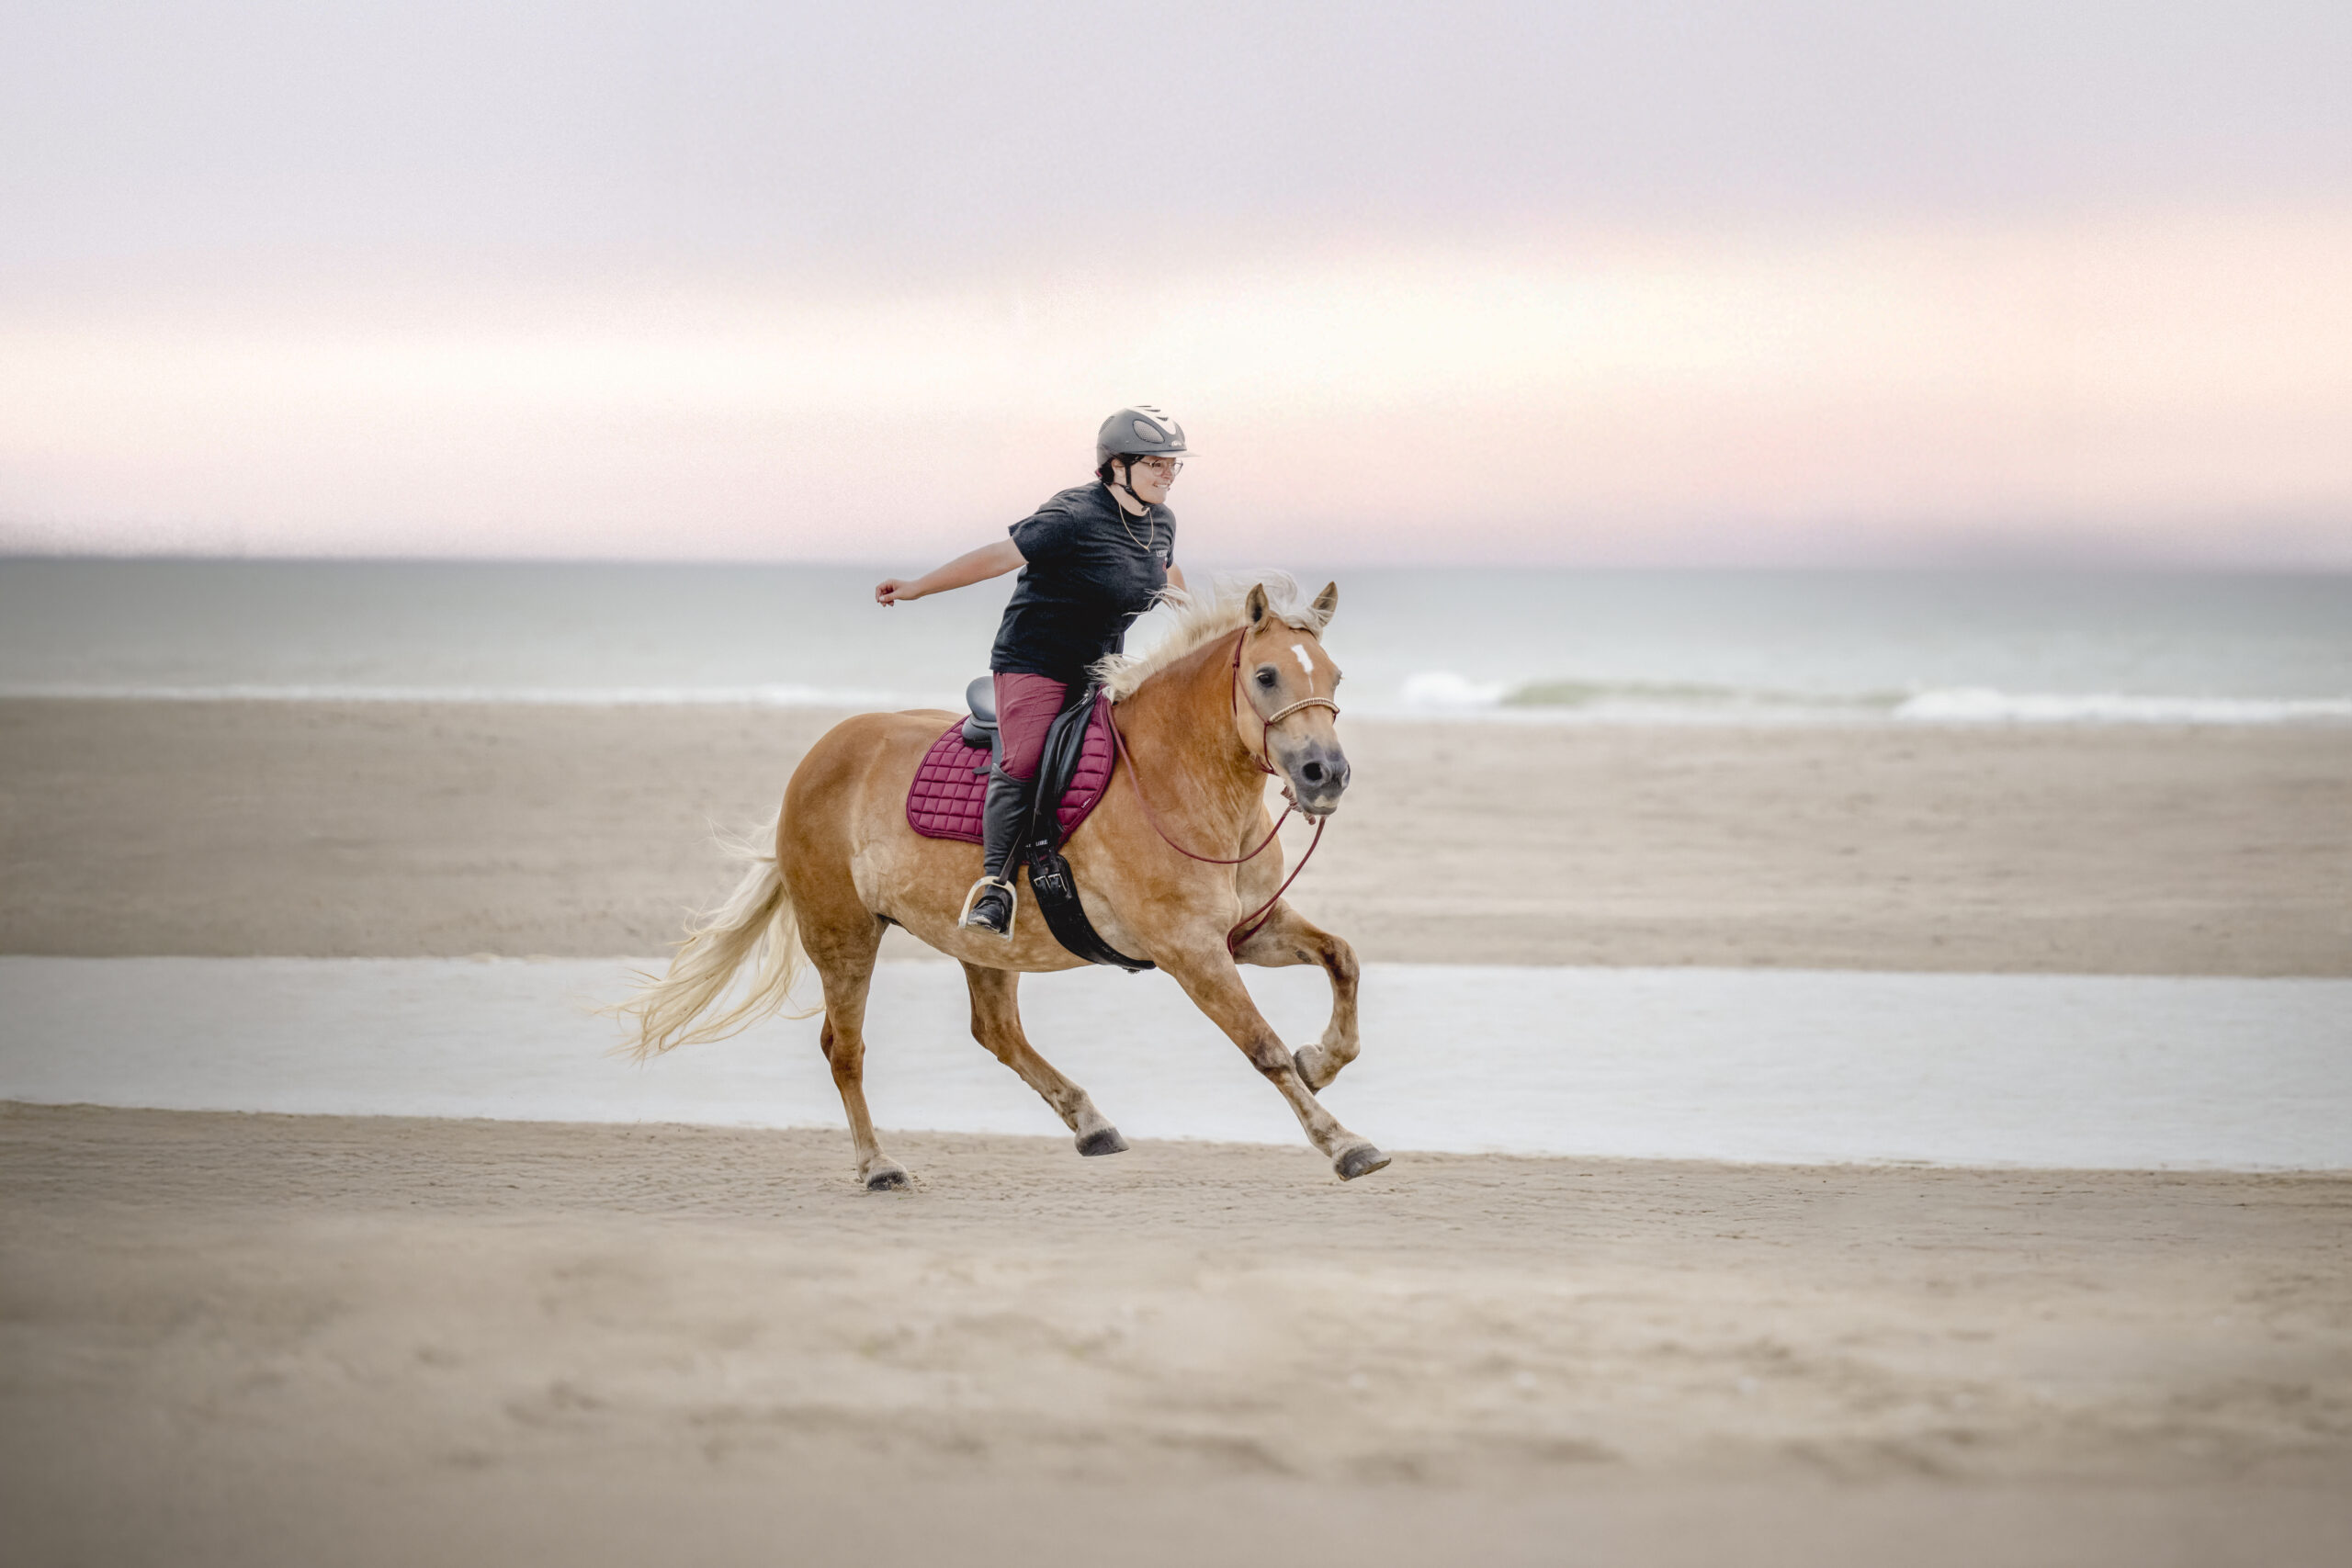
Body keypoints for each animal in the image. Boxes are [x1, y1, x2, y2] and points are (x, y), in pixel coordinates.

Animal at [616, 577, 1385, 1188]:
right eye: (1266, 675)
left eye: (1336, 676)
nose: (1326, 774)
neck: (1176, 780)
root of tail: (818, 757)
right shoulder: (1190, 951)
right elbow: (1263, 1047)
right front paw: (1343, 1142)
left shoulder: (1248, 929)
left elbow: (1342, 958)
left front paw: (1324, 1058)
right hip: (843, 936)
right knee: (846, 1049)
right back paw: (878, 1165)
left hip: (984, 942)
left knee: (996, 1031)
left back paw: (1090, 1122)